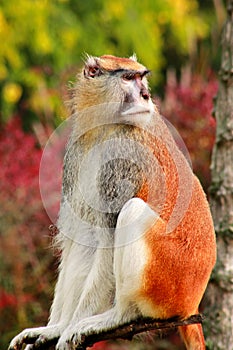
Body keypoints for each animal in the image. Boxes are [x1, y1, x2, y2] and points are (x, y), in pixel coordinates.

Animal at [9, 55, 217, 350]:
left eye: (142, 78)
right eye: (128, 78)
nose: (145, 95)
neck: (104, 127)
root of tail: (191, 304)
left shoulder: (122, 160)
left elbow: (107, 240)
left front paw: (69, 328)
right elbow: (83, 237)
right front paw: (54, 329)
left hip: (167, 281)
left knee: (132, 211)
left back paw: (118, 315)